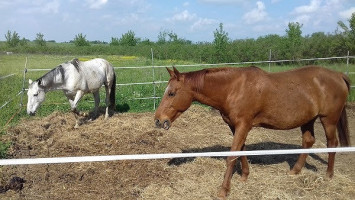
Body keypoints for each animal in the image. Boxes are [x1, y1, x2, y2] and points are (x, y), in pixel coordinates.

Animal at [154, 65, 352, 198]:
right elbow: (241, 150)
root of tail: (338, 75)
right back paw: (295, 171)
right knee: (308, 141)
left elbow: (232, 155)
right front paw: (244, 176)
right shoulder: (235, 126)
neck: (233, 88)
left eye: (171, 93)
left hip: (328, 120)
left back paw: (328, 175)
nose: (158, 120)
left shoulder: (243, 125)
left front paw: (224, 190)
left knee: (332, 143)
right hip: (308, 120)